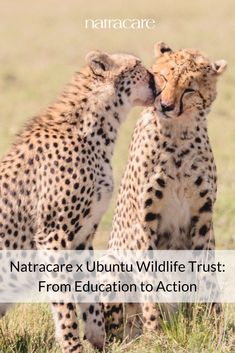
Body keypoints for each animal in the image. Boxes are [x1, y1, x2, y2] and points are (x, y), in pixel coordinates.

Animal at [0, 50, 156, 352]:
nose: (159, 80)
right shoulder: (53, 235)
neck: (96, 130)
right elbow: (64, 302)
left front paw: (99, 342)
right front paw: (72, 344)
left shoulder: (83, 237)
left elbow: (90, 295)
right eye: (137, 66)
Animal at [105, 42, 227, 340]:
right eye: (163, 77)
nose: (166, 105)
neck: (178, 135)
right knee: (116, 332)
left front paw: (213, 328)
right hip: (109, 265)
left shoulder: (203, 219)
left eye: (190, 88)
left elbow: (207, 276)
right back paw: (136, 337)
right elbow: (149, 278)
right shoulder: (145, 220)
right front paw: (155, 332)